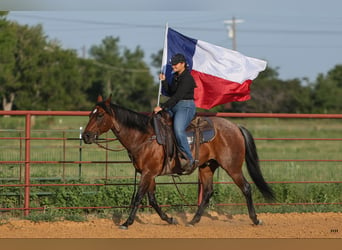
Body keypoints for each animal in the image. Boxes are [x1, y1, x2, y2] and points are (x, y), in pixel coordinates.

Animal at [83, 94, 276, 229]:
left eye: (100, 115)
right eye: (90, 114)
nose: (86, 136)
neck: (144, 137)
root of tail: (235, 127)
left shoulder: (147, 173)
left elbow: (138, 197)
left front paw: (126, 223)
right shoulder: (149, 174)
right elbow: (152, 199)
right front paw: (169, 219)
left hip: (232, 166)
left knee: (246, 187)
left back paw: (255, 219)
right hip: (206, 167)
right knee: (207, 192)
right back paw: (193, 221)